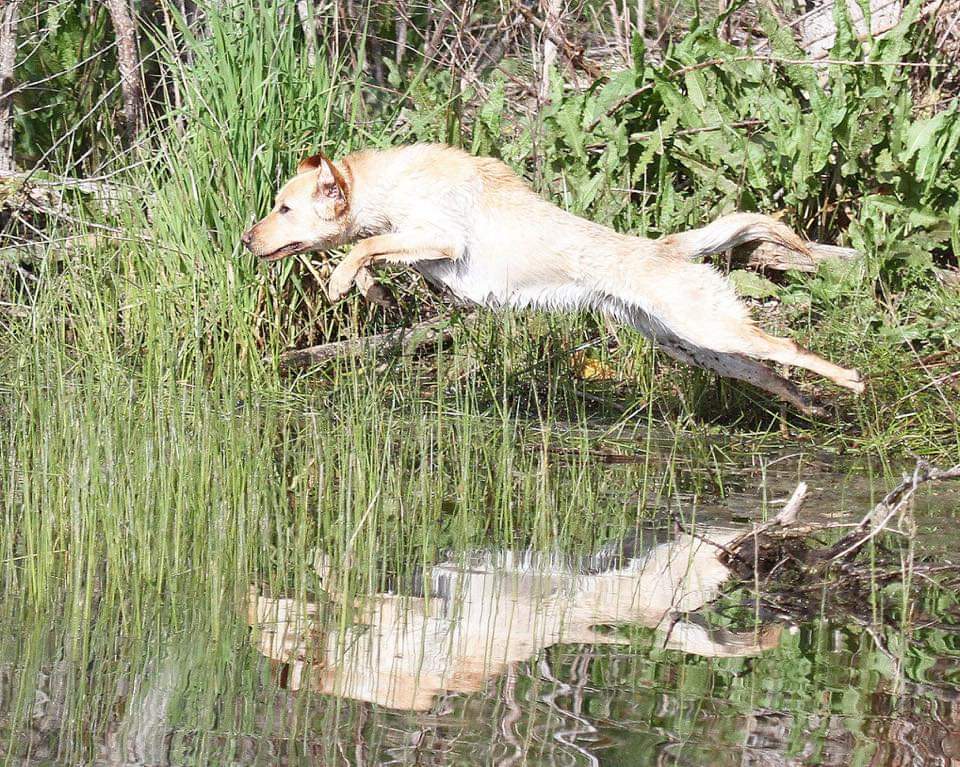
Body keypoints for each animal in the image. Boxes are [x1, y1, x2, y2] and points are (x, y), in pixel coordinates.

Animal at [240, 141, 864, 412]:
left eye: (284, 209)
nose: (246, 239)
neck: (387, 186)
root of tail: (664, 246)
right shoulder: (422, 253)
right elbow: (372, 255)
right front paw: (363, 287)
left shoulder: (442, 238)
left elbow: (366, 245)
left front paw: (342, 280)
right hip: (694, 345)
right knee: (768, 371)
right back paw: (809, 404)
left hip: (709, 328)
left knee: (787, 346)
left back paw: (851, 381)